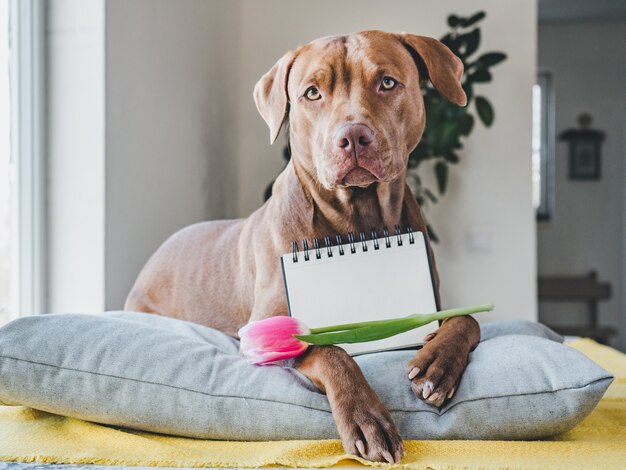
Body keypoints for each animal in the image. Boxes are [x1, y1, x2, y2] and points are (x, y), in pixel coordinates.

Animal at [124, 31, 480, 464]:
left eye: (387, 82)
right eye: (312, 93)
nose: (353, 137)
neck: (357, 217)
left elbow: (468, 319)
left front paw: (438, 364)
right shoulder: (266, 334)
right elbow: (329, 350)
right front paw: (366, 417)